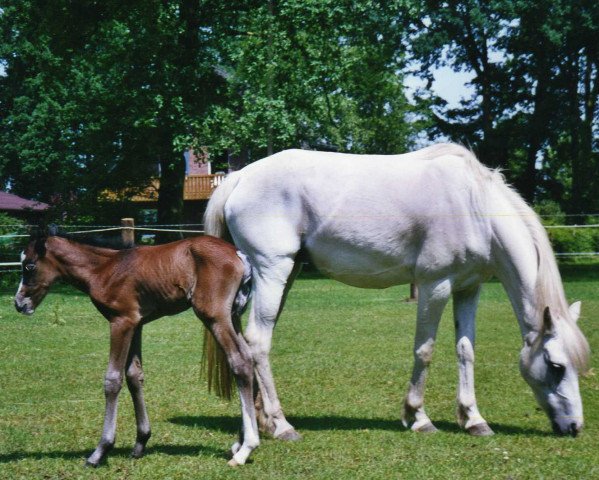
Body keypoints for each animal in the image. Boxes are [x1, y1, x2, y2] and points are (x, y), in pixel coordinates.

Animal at [15, 232, 258, 464]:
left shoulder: (121, 321)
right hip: (233, 316)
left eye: (29, 266)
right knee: (249, 358)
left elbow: (112, 380)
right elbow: (134, 376)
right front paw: (141, 442)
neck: (103, 269)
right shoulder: (136, 324)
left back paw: (246, 449)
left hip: (214, 316)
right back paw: (239, 443)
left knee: (239, 362)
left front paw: (100, 451)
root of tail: (239, 254)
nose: (18, 304)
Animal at [203, 141, 592, 440]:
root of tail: (240, 177)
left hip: (280, 276)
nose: (574, 427)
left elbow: (465, 350)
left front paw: (473, 419)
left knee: (247, 343)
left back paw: (260, 420)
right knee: (258, 342)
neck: (473, 204)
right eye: (556, 365)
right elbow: (425, 350)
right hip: (273, 271)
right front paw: (418, 417)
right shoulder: (435, 286)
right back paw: (282, 425)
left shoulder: (469, 288)